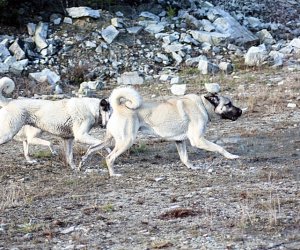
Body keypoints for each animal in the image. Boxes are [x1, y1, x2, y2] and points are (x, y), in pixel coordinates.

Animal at [78, 82, 243, 176]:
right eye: (228, 104)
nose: (241, 111)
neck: (203, 105)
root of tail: (118, 107)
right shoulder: (198, 140)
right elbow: (220, 148)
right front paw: (232, 156)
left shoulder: (180, 141)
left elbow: (184, 158)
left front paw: (191, 167)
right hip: (126, 141)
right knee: (109, 158)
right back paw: (113, 174)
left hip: (110, 140)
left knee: (92, 148)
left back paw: (81, 164)